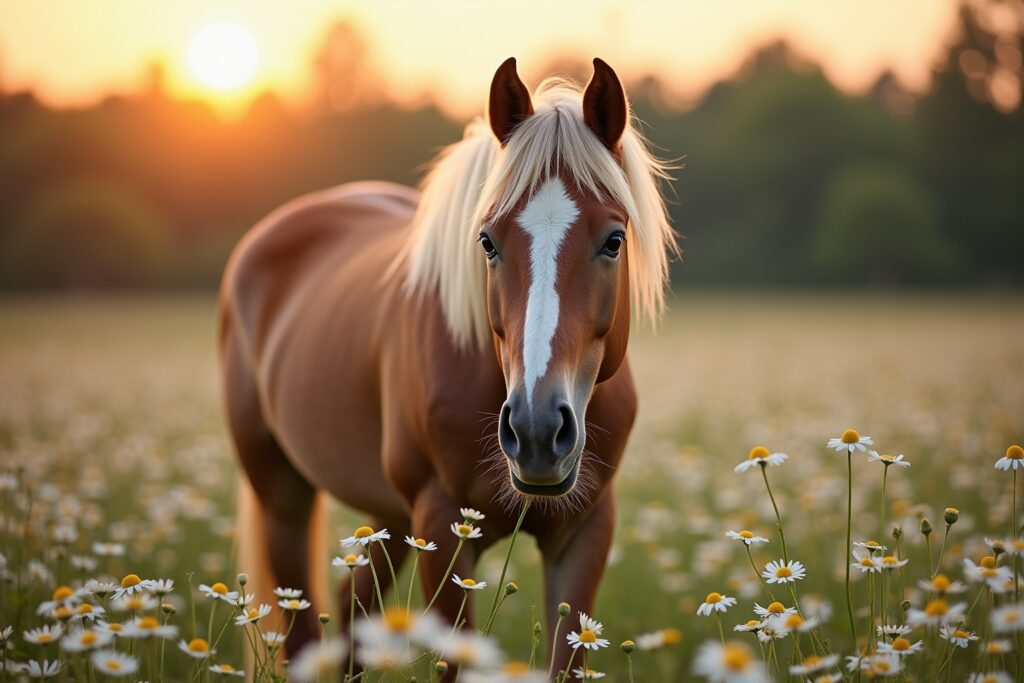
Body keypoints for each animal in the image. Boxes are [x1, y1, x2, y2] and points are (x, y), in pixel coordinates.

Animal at [219, 57, 676, 675]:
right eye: (487, 241)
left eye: (613, 240)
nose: (536, 432)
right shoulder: (443, 528)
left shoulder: (584, 532)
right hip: (283, 498)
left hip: (388, 519)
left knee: (352, 613)